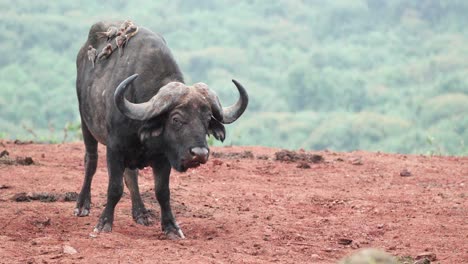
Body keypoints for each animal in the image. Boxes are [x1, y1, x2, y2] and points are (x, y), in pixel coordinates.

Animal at [75, 21, 249, 238]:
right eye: (176, 119)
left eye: (207, 119)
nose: (199, 154)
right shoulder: (115, 150)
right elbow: (114, 188)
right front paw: (104, 223)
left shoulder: (163, 158)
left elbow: (162, 192)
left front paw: (171, 227)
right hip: (85, 124)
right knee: (90, 161)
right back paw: (82, 205)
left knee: (131, 176)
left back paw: (140, 213)